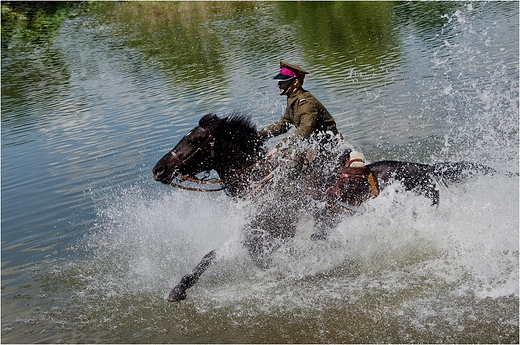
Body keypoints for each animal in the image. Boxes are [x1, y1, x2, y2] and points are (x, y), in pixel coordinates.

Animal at [152, 113, 490, 300]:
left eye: (194, 141)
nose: (158, 169)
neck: (262, 181)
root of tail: (426, 169)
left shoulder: (265, 232)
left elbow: (225, 255)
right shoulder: (260, 234)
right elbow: (213, 255)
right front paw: (178, 289)